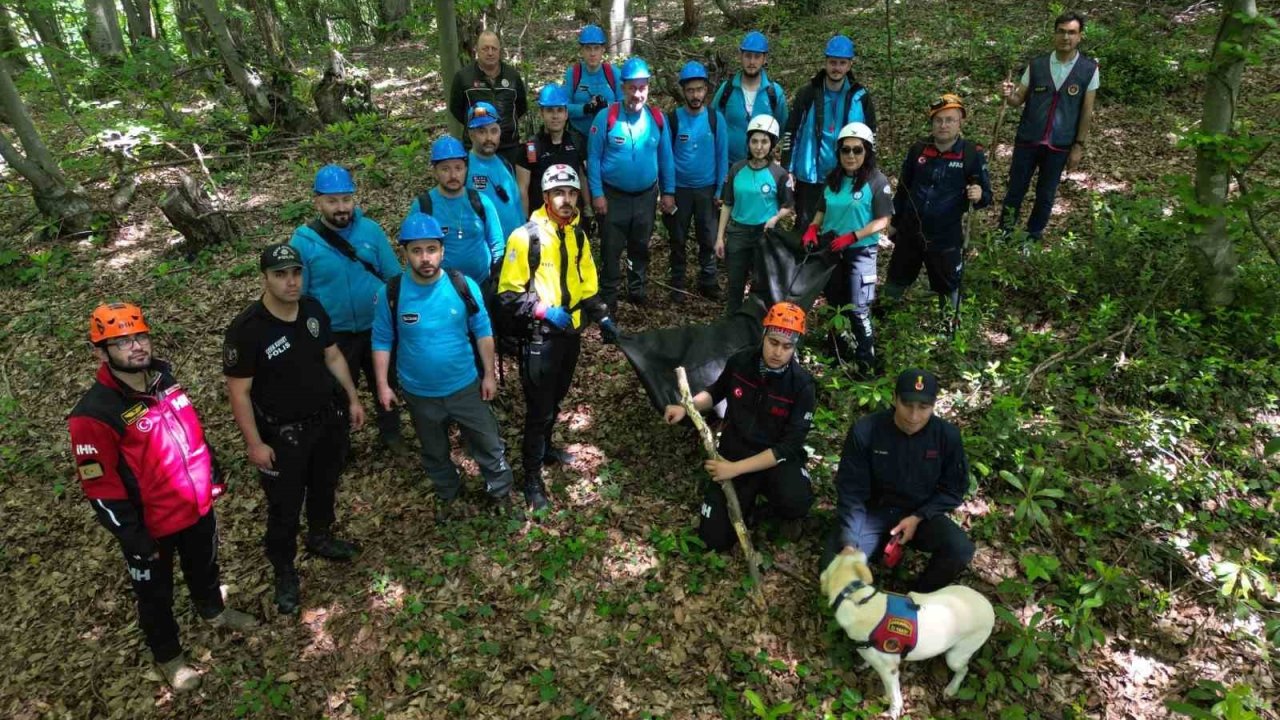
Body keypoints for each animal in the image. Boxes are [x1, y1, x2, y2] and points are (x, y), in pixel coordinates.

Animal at [824, 545, 993, 712]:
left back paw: (952, 688)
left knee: (964, 670)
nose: (852, 546)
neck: (856, 597)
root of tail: (990, 607)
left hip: (955, 657)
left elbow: (894, 696)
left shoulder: (889, 671)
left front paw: (892, 711)